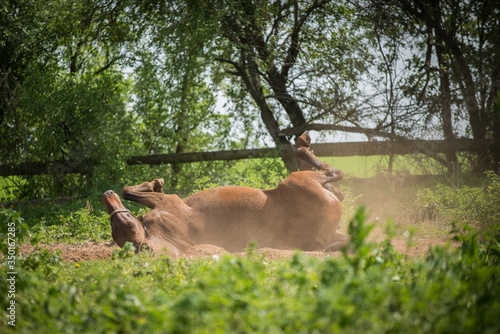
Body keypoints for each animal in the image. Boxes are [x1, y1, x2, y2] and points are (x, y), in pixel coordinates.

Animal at [101, 132, 350, 258]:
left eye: (127, 223)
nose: (106, 194)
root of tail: (324, 235)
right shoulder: (169, 202)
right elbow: (128, 191)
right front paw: (155, 183)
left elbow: (129, 191)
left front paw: (155, 184)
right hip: (296, 180)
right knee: (332, 172)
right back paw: (303, 143)